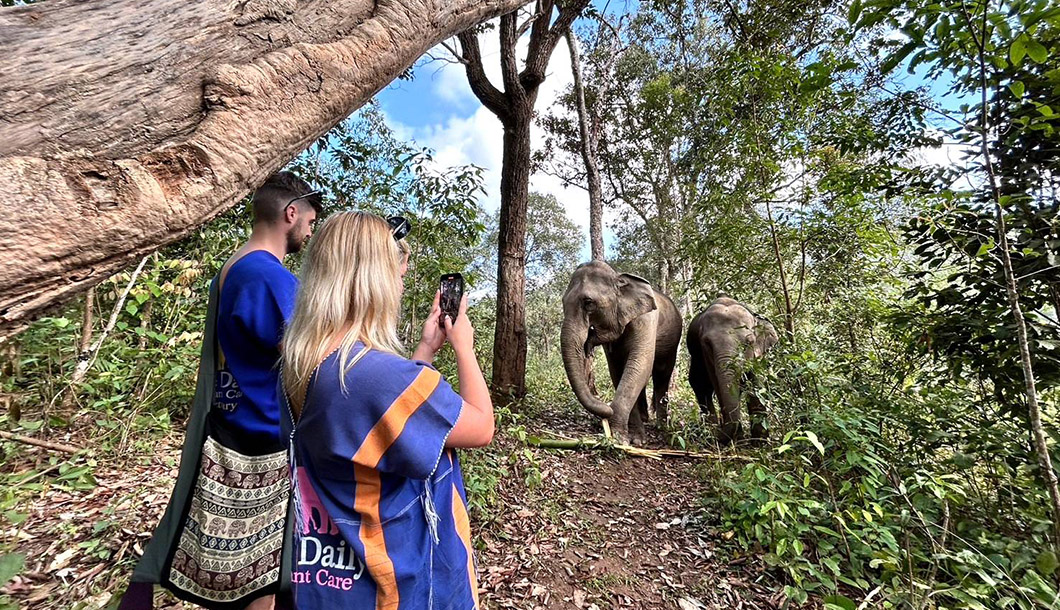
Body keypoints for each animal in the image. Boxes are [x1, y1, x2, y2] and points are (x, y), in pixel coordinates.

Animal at [559, 260, 682, 443]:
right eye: (563, 302)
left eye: (588, 302)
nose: (606, 408)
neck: (619, 277)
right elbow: (618, 371)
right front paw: (628, 437)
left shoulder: (646, 321)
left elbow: (639, 366)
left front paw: (625, 440)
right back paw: (645, 418)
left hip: (672, 342)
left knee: (662, 374)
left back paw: (662, 426)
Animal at [686, 297, 780, 443]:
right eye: (707, 343)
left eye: (749, 343)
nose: (719, 434)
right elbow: (718, 386)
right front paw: (738, 439)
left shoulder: (758, 355)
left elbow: (757, 383)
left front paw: (760, 441)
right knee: (701, 386)